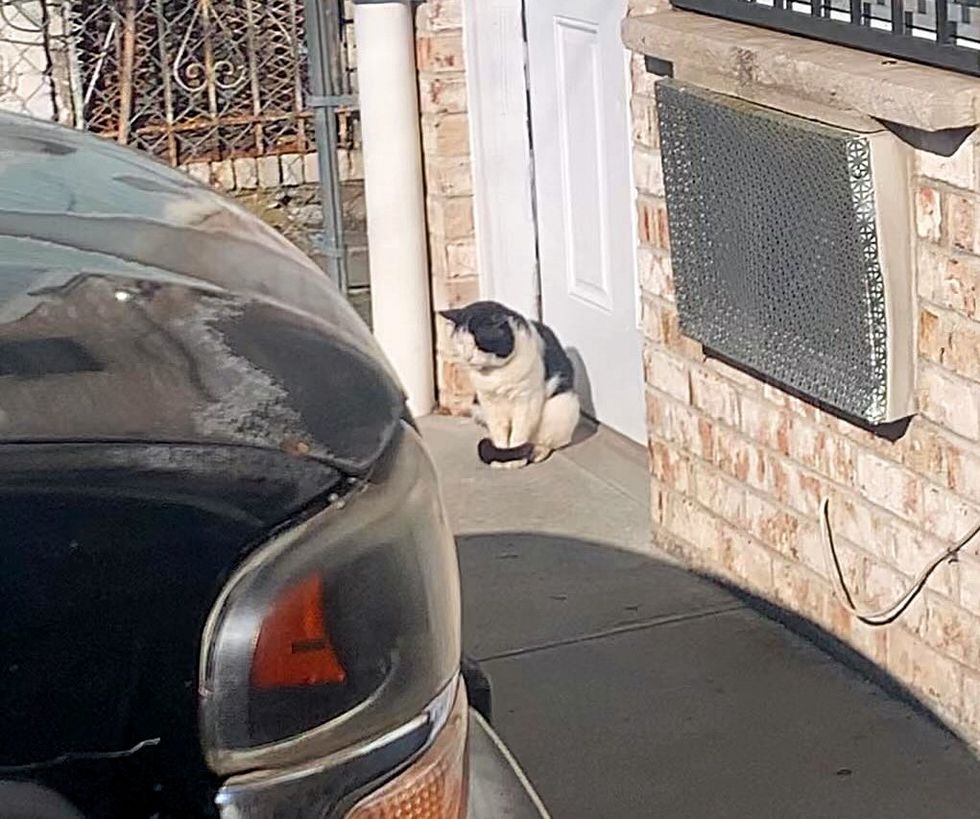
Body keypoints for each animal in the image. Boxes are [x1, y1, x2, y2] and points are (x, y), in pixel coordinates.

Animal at [440, 302, 580, 468]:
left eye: (478, 345)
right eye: (461, 344)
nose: (467, 357)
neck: (496, 374)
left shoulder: (526, 400)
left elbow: (519, 434)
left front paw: (514, 461)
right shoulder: (489, 403)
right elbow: (499, 433)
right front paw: (501, 459)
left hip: (562, 406)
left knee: (549, 441)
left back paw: (537, 452)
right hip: (477, 409)